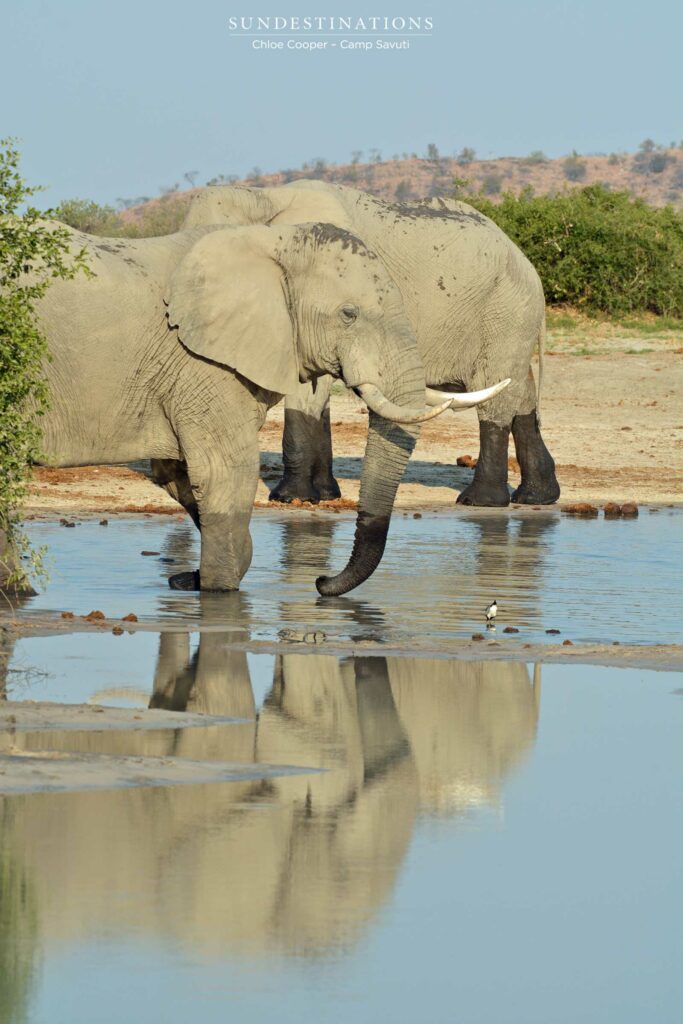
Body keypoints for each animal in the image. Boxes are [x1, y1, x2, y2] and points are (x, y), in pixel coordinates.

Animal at [23, 219, 505, 598]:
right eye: (348, 314)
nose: (320, 582)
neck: (271, 242)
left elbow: (179, 475)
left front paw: (195, 579)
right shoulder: (201, 363)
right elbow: (226, 472)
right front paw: (219, 593)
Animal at [182, 181, 561, 507]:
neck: (260, 197)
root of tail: (526, 262)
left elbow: (306, 393)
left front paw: (290, 497)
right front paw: (325, 495)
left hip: (506, 311)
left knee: (495, 393)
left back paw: (480, 501)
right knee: (519, 392)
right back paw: (537, 498)